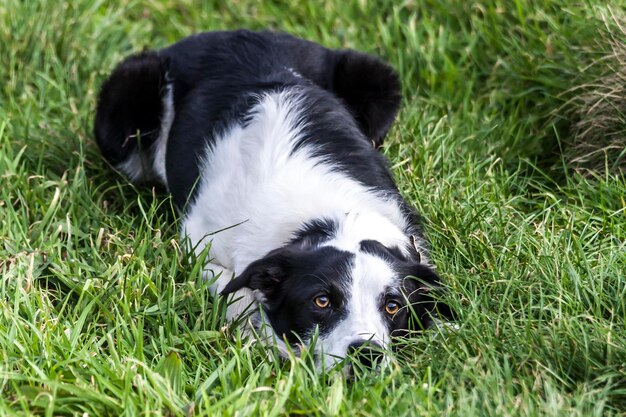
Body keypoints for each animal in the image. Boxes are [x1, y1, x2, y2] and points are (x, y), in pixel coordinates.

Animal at [94, 30, 454, 368]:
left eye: (393, 306)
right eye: (321, 301)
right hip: (127, 105)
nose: (366, 354)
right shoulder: (200, 242)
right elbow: (238, 293)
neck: (326, 216)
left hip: (377, 80)